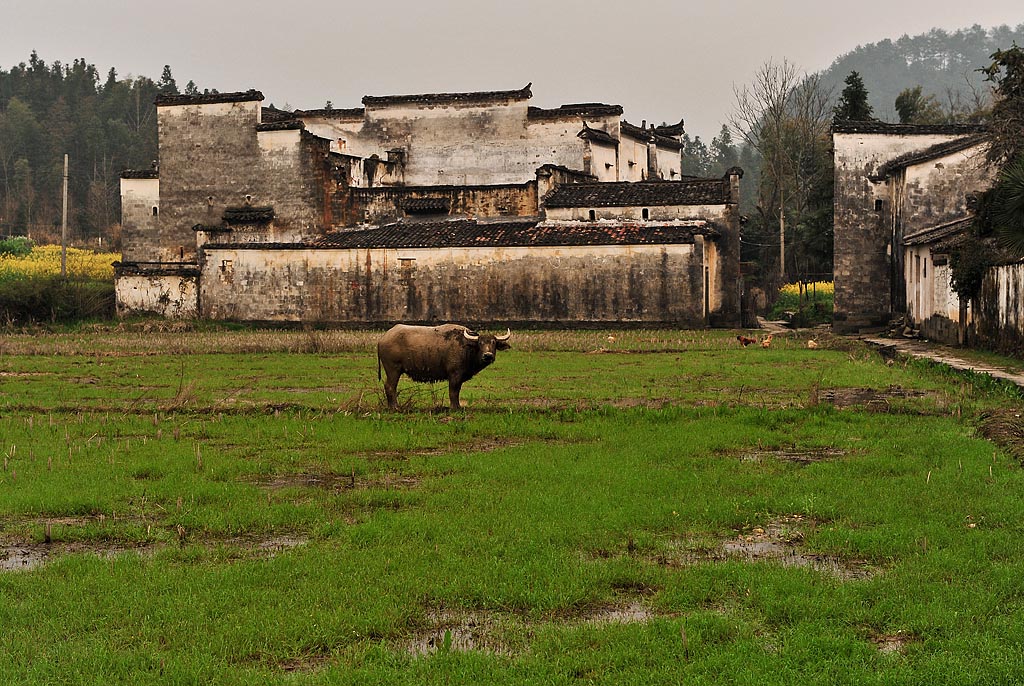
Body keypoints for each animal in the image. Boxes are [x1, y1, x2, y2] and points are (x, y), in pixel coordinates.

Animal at [376, 325, 512, 411]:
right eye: (480, 343)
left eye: (493, 343)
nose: (488, 355)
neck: (467, 349)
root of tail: (382, 338)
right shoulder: (455, 375)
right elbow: (453, 392)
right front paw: (455, 408)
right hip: (393, 369)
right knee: (390, 387)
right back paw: (395, 407)